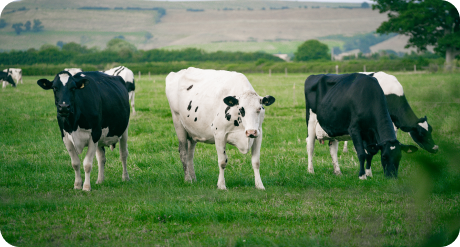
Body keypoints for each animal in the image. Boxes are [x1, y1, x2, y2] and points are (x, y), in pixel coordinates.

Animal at [308, 71, 436, 176]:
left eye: (431, 130)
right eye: (421, 133)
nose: (436, 148)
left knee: (333, 146)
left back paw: (337, 171)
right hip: (311, 121)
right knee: (310, 145)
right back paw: (311, 170)